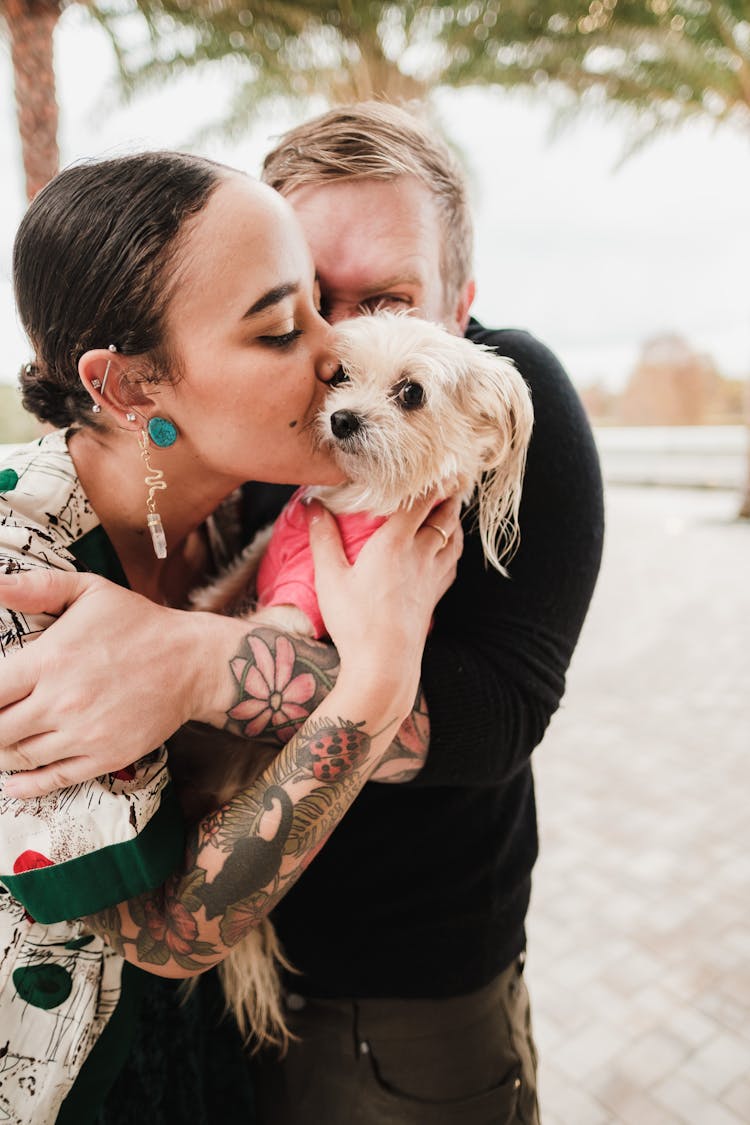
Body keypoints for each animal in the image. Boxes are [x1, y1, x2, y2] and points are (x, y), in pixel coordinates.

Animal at [179, 310, 537, 1044]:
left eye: (412, 393)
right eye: (340, 373)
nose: (341, 417)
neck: (353, 498)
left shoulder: (299, 606)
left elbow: (269, 632)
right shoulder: (269, 545)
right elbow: (231, 580)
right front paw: (197, 603)